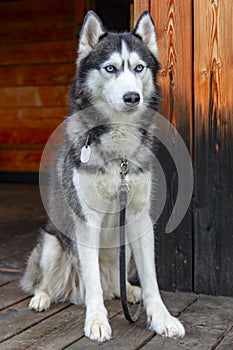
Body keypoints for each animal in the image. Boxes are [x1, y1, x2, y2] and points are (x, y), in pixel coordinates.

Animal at [22, 10, 186, 342]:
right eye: (110, 68)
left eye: (138, 67)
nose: (132, 97)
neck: (118, 151)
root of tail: (73, 291)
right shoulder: (87, 221)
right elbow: (94, 282)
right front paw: (97, 321)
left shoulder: (139, 218)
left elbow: (151, 279)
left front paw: (161, 317)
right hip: (52, 244)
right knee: (49, 281)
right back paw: (42, 297)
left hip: (126, 249)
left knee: (114, 285)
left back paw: (130, 291)